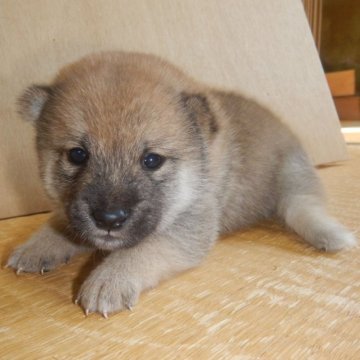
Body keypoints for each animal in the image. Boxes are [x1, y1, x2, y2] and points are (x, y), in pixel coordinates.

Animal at [7, 52, 356, 316]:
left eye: (152, 160)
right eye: (77, 155)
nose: (109, 219)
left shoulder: (189, 227)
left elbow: (144, 249)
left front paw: (110, 279)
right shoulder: (71, 208)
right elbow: (61, 223)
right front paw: (38, 246)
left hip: (292, 176)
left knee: (303, 206)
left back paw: (329, 234)